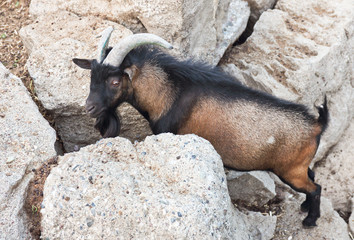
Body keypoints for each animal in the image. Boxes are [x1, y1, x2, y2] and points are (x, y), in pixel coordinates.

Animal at [72, 28, 330, 227]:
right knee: (313, 177)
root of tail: (317, 125)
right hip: (298, 167)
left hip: (290, 170)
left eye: (115, 81)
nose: (89, 108)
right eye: (91, 78)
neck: (167, 92)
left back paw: (310, 220)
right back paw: (305, 207)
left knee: (315, 188)